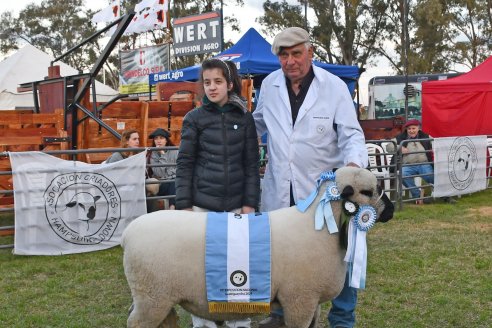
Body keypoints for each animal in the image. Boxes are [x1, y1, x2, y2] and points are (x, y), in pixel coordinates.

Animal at [123, 168, 396, 326]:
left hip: (158, 297)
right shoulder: (299, 299)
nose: (391, 211)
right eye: (369, 191)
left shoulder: (312, 298)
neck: (319, 226)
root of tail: (127, 233)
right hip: (151, 295)